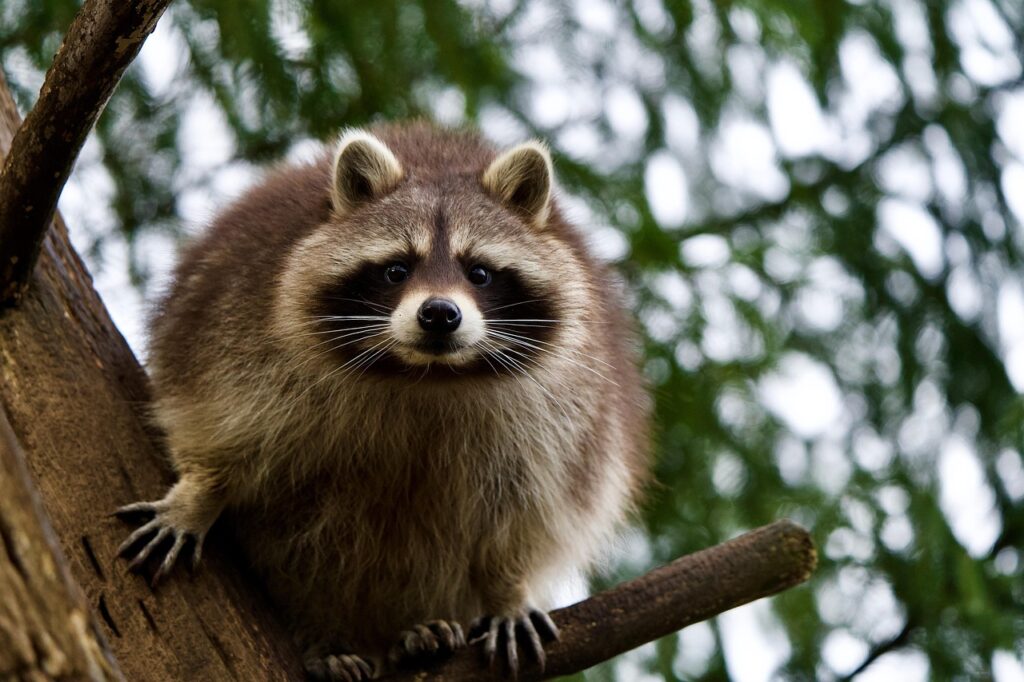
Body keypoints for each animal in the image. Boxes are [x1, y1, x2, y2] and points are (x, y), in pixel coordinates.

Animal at [117, 122, 650, 680]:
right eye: (397, 270)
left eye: (478, 273)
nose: (439, 314)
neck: (425, 374)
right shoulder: (241, 329)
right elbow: (224, 422)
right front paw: (200, 492)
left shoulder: (570, 406)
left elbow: (529, 510)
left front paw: (508, 587)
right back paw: (322, 637)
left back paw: (418, 635)